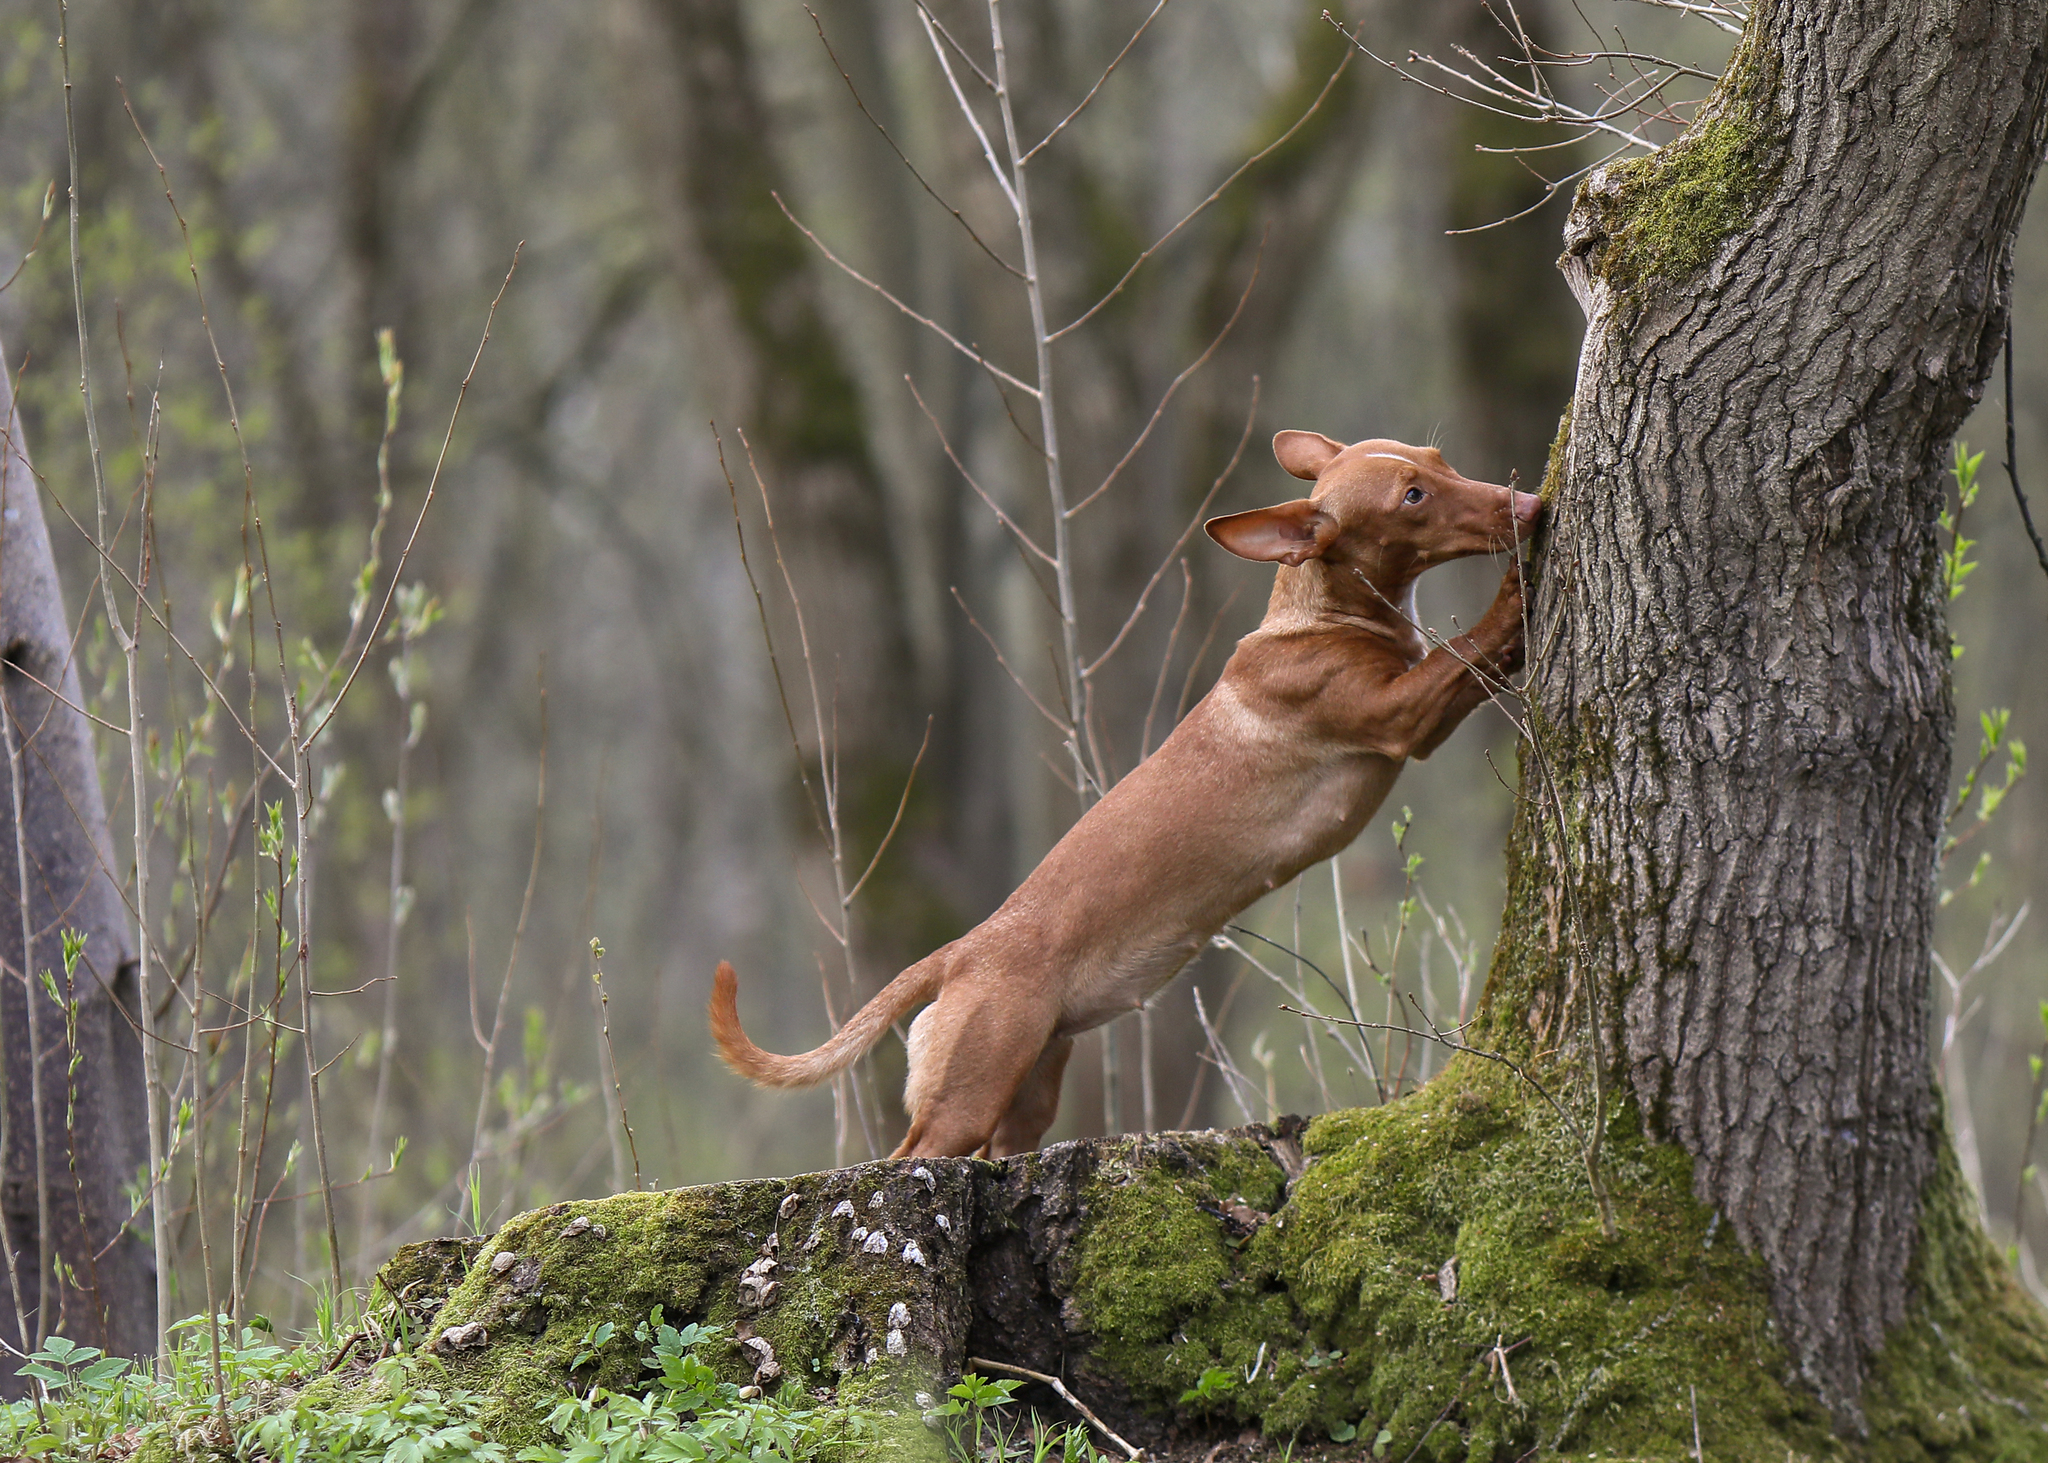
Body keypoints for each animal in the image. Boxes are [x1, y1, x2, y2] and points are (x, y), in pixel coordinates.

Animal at [712, 430, 1531, 1147]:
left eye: (1438, 460)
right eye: (1413, 496)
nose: (1525, 504)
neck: (1316, 617)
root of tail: (959, 952)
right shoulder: (1403, 717)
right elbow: (1470, 645)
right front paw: (1518, 585)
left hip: (1027, 1096)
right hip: (966, 1098)